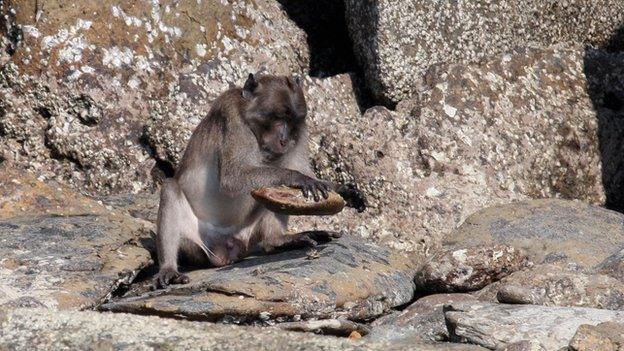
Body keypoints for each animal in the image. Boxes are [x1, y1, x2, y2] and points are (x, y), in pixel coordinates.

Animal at [154, 72, 366, 288]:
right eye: (279, 117)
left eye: (292, 121)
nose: (285, 140)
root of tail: (225, 250)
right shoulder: (232, 119)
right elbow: (233, 178)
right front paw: (298, 178)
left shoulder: (301, 131)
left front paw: (345, 190)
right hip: (195, 244)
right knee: (170, 187)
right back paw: (169, 268)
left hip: (246, 234)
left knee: (271, 197)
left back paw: (278, 240)